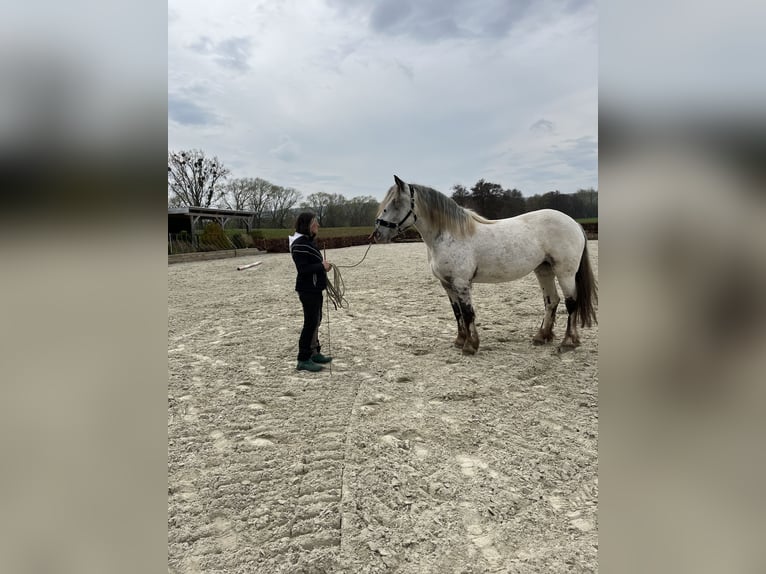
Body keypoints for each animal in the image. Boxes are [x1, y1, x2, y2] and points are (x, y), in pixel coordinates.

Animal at [374, 176, 600, 356]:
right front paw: (460, 341)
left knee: (571, 302)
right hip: (543, 270)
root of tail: (574, 223)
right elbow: (457, 313)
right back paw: (541, 336)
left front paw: (470, 346)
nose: (377, 233)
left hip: (565, 273)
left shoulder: (461, 283)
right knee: (552, 301)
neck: (449, 234)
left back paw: (568, 342)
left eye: (396, 202)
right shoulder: (447, 284)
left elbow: (468, 313)